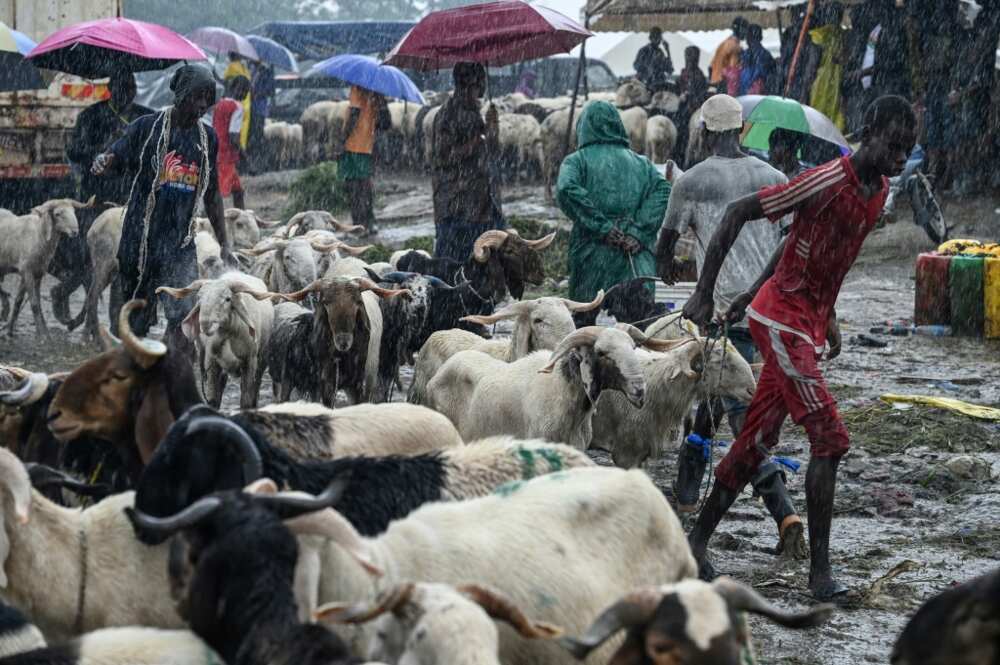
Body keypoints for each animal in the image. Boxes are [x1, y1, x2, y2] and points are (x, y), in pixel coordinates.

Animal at [0, 195, 92, 334]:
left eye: (73, 211)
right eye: (57, 214)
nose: (75, 231)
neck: (38, 236)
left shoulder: (36, 273)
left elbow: (21, 301)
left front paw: (10, 331)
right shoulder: (27, 271)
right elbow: (34, 304)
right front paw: (42, 334)